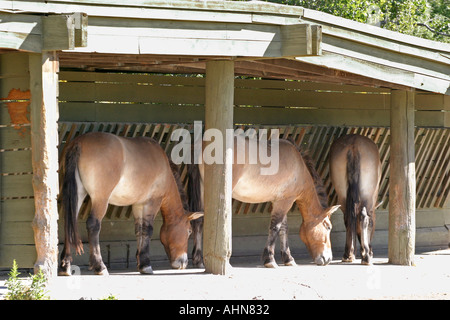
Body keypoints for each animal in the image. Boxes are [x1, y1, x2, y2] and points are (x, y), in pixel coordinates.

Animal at [58, 131, 202, 276]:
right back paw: (100, 266)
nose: (183, 262)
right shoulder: (152, 203)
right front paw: (146, 265)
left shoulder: (138, 205)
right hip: (100, 199)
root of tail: (78, 142)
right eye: (189, 231)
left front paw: (141, 262)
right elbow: (148, 230)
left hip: (78, 194)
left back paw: (65, 266)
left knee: (69, 223)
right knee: (93, 225)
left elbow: (139, 230)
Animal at [188, 138, 340, 268]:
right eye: (328, 227)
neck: (299, 167)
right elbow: (275, 228)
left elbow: (283, 229)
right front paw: (270, 259)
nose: (328, 259)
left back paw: (198, 260)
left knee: (198, 221)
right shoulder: (285, 202)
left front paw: (288, 259)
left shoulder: (281, 200)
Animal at [328, 134, 382, 264]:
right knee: (364, 217)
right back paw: (366, 256)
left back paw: (348, 255)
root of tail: (354, 145)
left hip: (343, 196)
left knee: (348, 218)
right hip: (367, 197)